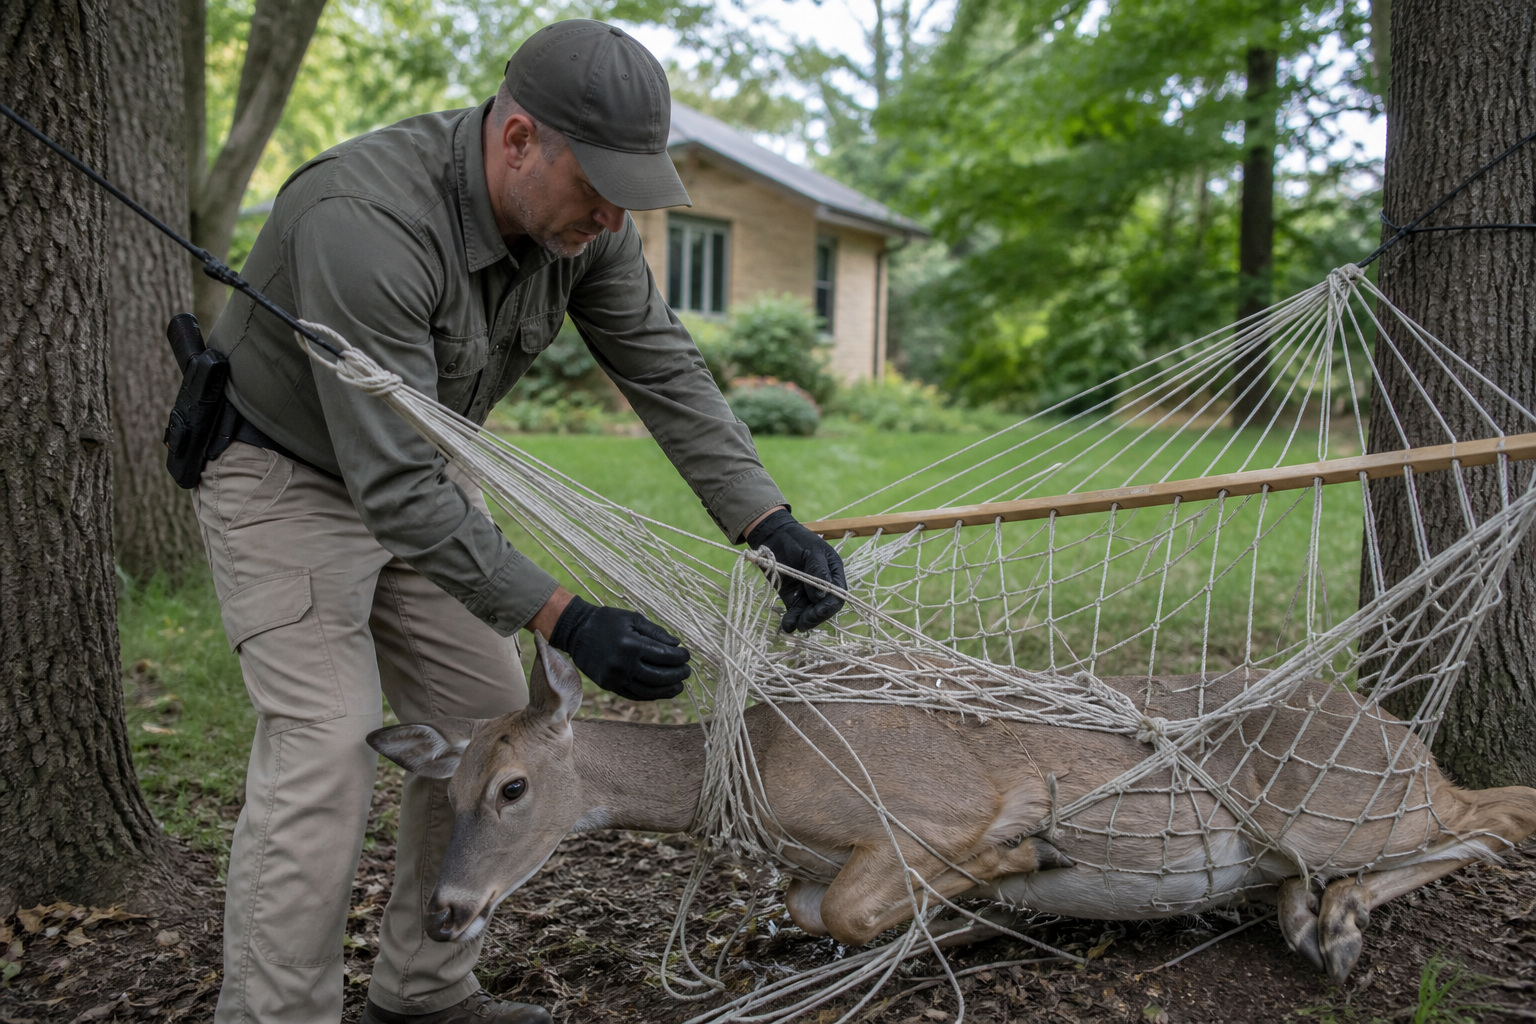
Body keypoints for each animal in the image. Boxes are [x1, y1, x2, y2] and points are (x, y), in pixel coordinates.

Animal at [368, 635, 1536, 984]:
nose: (446, 911)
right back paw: (1304, 910)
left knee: (1497, 815)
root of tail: (1398, 733)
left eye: (514, 787)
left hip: (1350, 805)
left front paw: (1012, 871)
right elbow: (810, 908)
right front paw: (964, 917)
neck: (753, 775)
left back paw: (1332, 922)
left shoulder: (945, 804)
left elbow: (851, 905)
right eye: (444, 790)